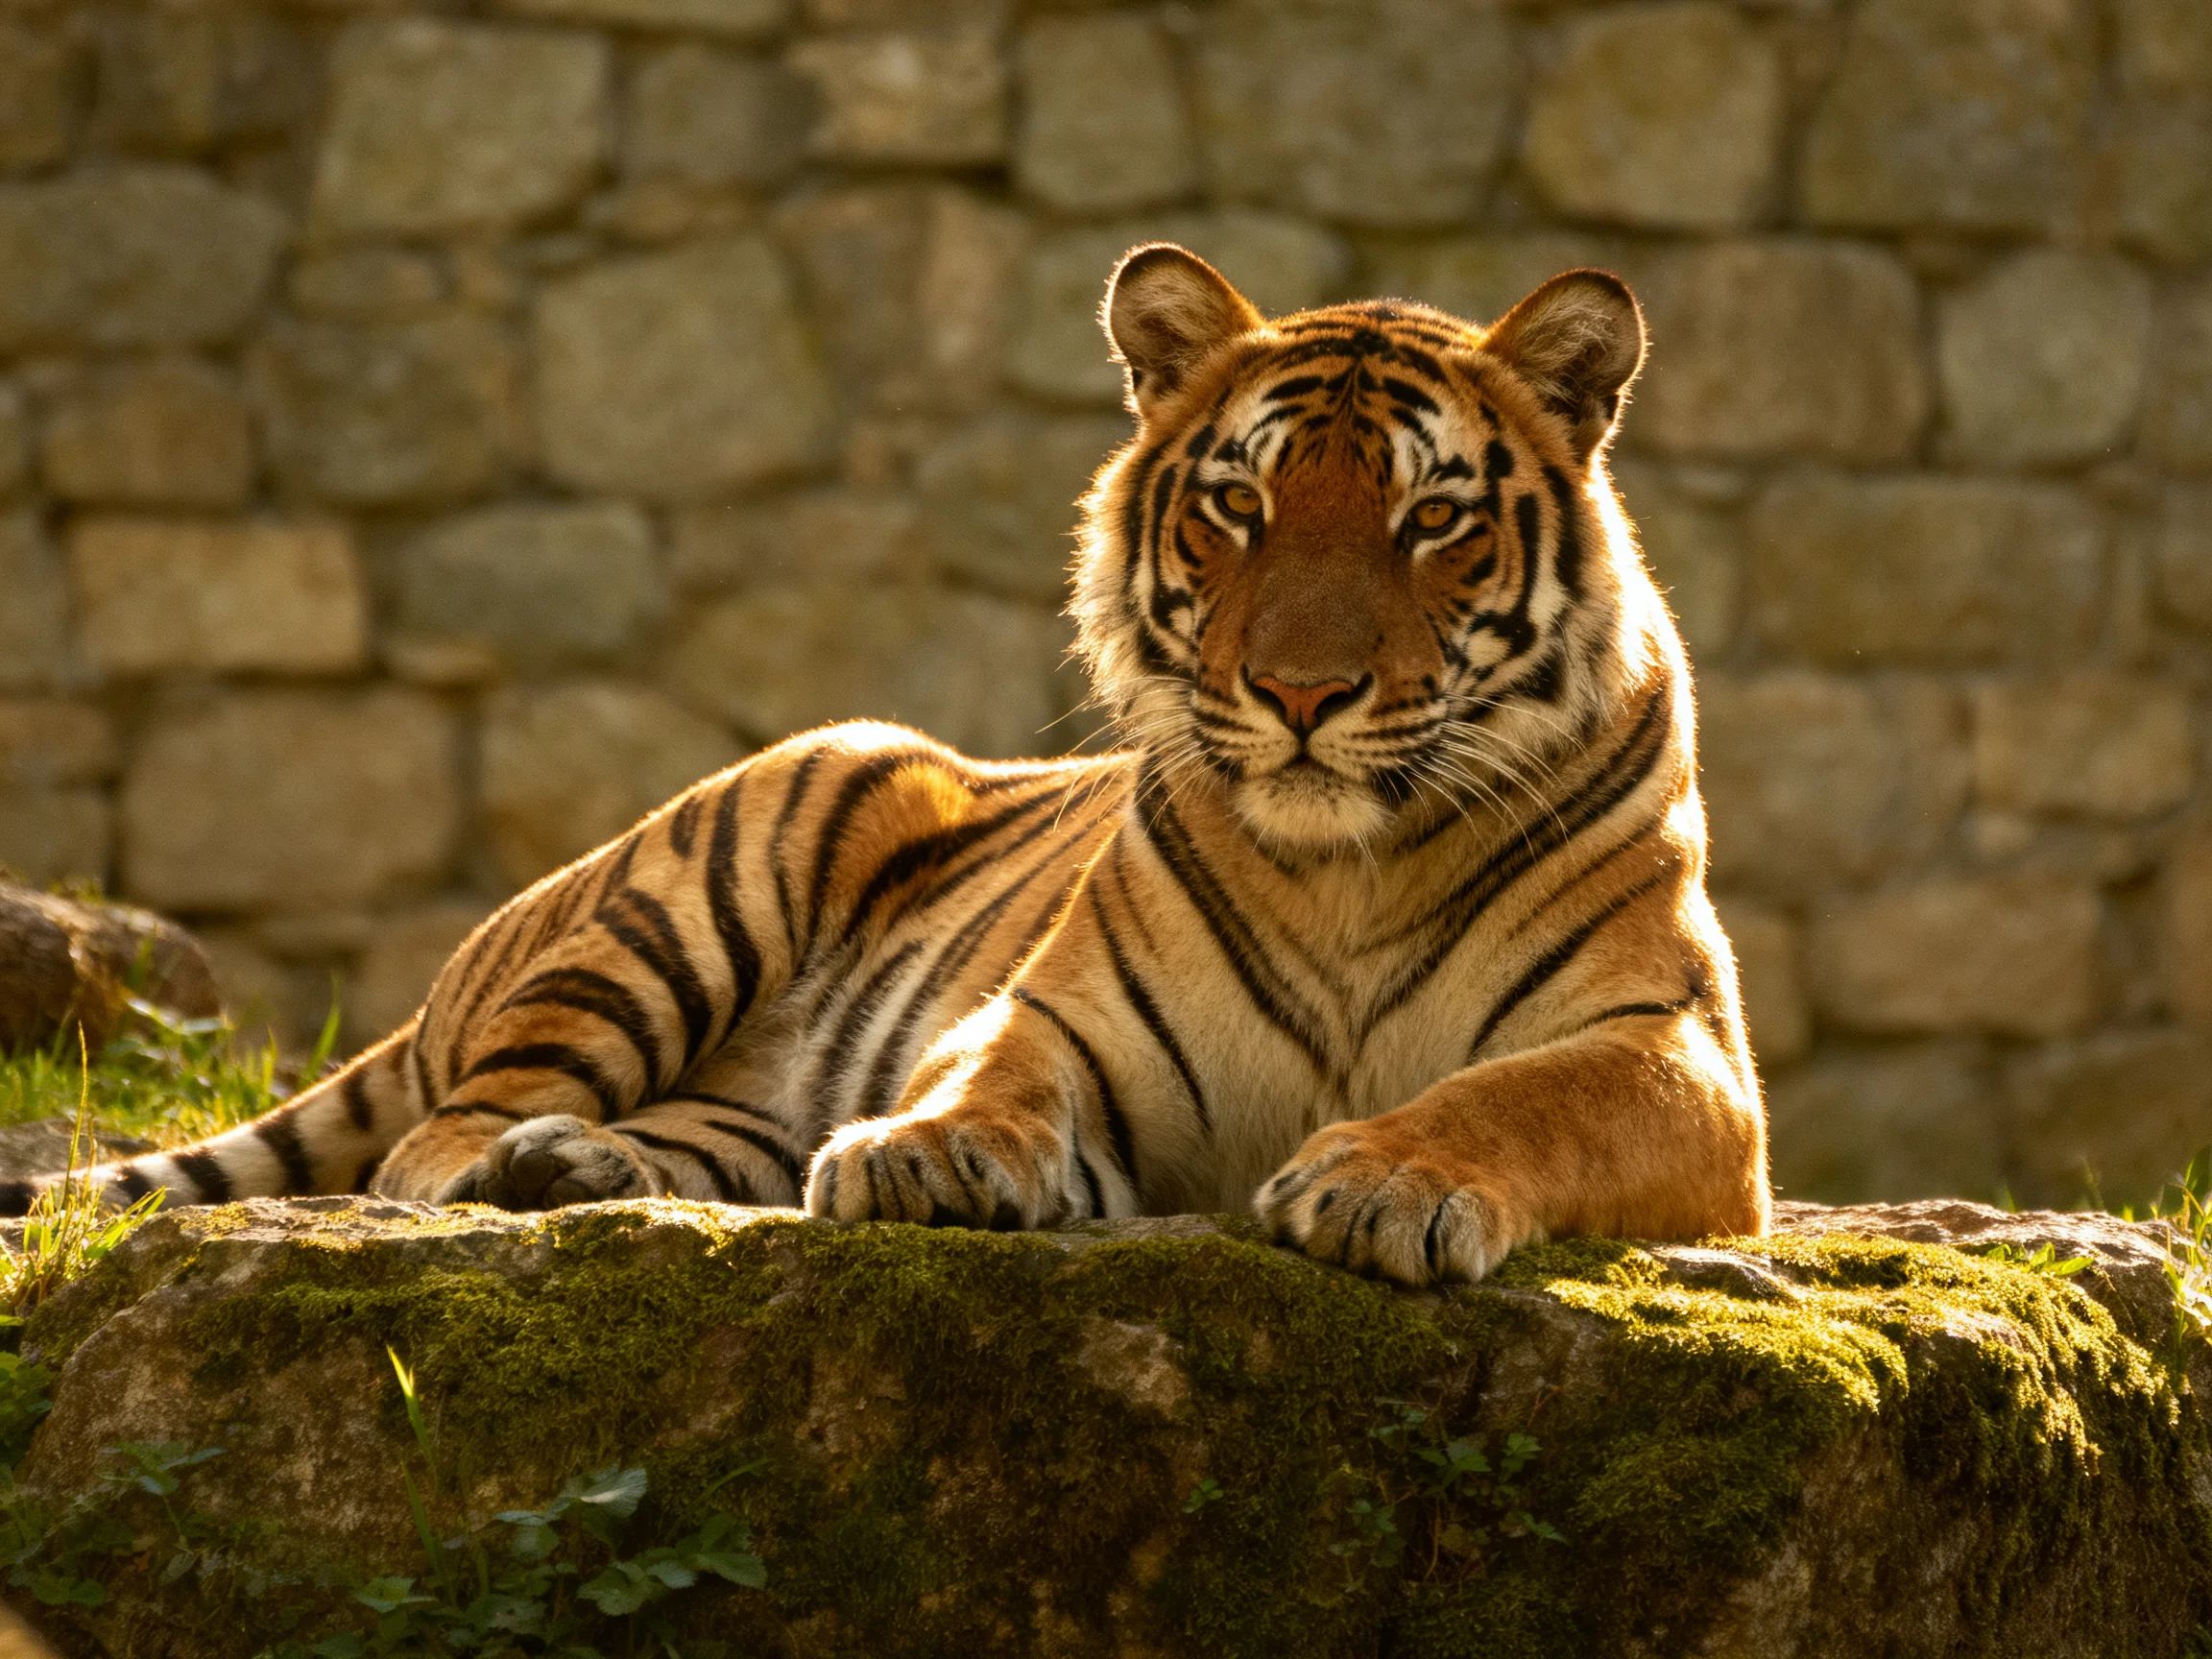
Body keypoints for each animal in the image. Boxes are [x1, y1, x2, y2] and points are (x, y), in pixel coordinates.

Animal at [4, 245, 1768, 1284]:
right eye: (1240, 506)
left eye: (1431, 520)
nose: (1300, 691)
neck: (1344, 862)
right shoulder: (1061, 1015)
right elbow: (994, 1074)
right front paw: (927, 1155)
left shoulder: (1675, 1056)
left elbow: (1519, 1094)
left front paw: (1385, 1180)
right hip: (730, 857)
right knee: (427, 1138)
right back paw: (509, 1170)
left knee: (684, 1137)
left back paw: (571, 1167)